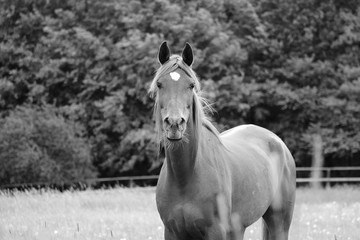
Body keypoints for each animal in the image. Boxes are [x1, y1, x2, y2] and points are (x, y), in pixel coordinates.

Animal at [149, 41, 296, 240]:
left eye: (191, 85)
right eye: (159, 84)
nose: (174, 124)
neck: (185, 175)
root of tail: (278, 142)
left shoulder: (216, 231)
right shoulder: (172, 232)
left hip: (279, 222)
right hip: (239, 227)